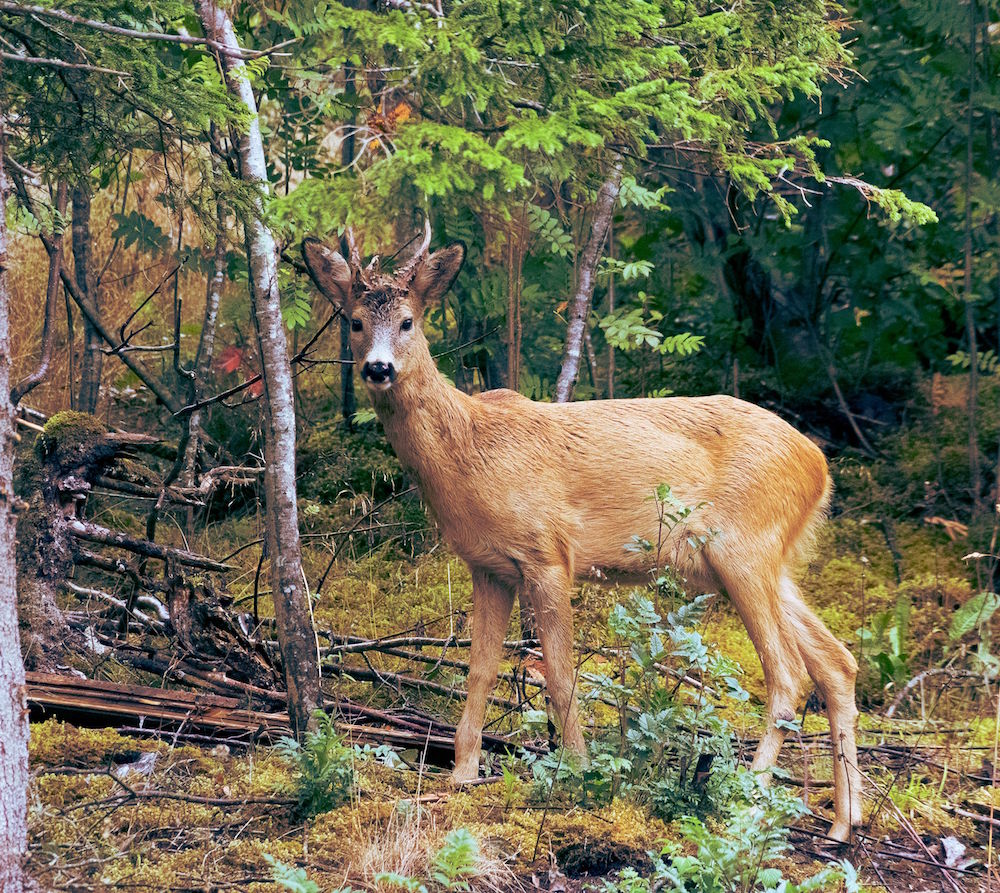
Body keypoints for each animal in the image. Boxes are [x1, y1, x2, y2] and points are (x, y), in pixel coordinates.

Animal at [300, 226, 864, 840]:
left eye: (408, 321)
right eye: (354, 321)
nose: (378, 369)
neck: (469, 453)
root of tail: (819, 465)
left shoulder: (547, 552)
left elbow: (561, 674)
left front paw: (578, 772)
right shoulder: (489, 566)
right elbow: (479, 670)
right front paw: (464, 773)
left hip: (742, 548)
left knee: (788, 676)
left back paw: (745, 803)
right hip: (768, 560)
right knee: (837, 662)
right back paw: (844, 824)